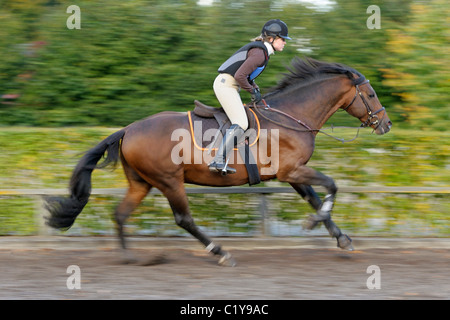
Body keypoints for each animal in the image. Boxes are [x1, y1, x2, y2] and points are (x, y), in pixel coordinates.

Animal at [44, 57, 392, 264]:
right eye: (371, 94)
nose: (386, 125)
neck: (291, 116)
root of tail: (128, 129)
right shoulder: (293, 170)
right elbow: (331, 186)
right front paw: (314, 223)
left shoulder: (293, 174)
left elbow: (316, 197)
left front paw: (341, 238)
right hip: (169, 181)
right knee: (184, 219)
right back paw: (220, 252)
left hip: (142, 183)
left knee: (120, 214)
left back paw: (130, 257)